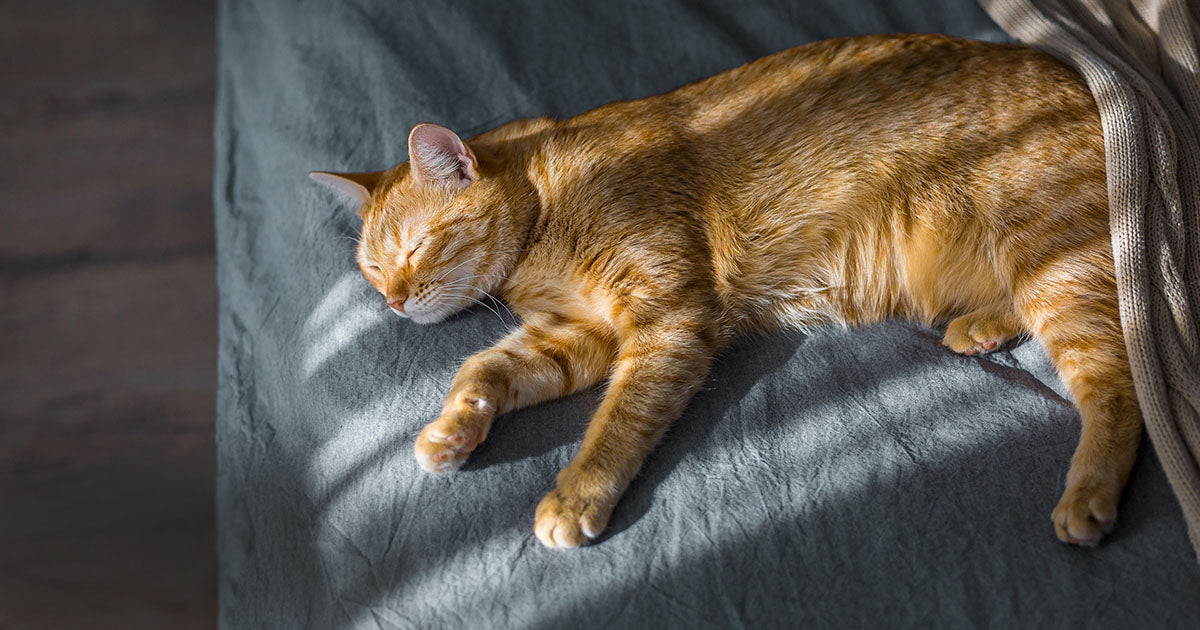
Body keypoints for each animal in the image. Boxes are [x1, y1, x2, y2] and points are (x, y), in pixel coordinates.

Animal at [312, 34, 1142, 547]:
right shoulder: (574, 338)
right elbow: (481, 369)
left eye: (414, 248)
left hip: (1050, 264)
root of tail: (1090, 83)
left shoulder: (666, 321)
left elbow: (616, 422)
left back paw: (1088, 495)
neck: (547, 202)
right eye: (373, 271)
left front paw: (578, 494)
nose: (392, 302)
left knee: (1117, 384)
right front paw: (451, 433)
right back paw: (982, 325)